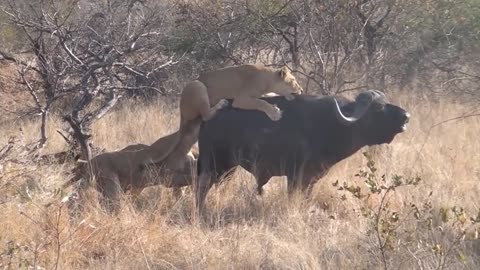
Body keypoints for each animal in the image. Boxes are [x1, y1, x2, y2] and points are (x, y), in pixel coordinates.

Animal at [194, 89, 408, 214]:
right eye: (379, 107)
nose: (406, 116)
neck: (332, 124)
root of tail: (208, 116)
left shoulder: (310, 178)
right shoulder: (295, 176)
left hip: (228, 169)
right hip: (214, 165)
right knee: (201, 188)